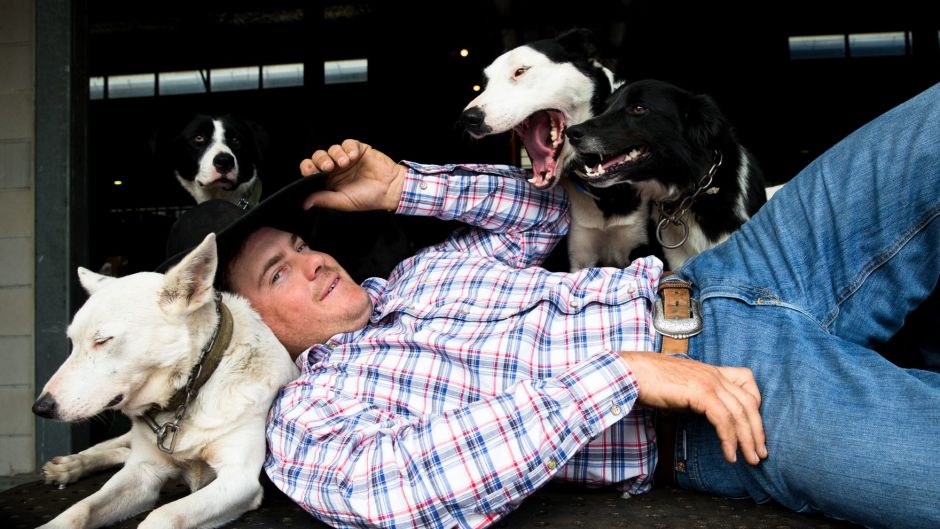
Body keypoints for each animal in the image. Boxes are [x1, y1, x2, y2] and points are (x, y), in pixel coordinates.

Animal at [33, 234, 298, 528]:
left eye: (102, 340)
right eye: (72, 342)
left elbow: (162, 515)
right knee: (116, 447)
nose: (41, 407)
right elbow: (80, 509)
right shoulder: (143, 472)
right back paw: (70, 465)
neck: (192, 388)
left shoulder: (239, 479)